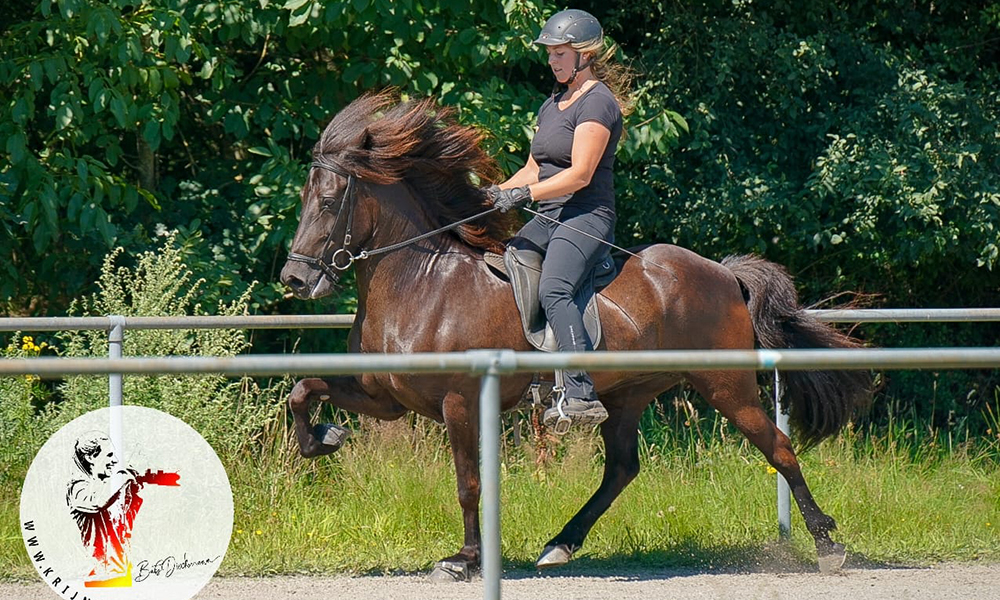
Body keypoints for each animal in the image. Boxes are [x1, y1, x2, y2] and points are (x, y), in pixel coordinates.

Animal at [280, 90, 868, 580]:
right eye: (305, 199)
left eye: (329, 202)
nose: (295, 279)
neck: (423, 282)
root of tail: (723, 273)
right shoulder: (385, 397)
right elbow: (303, 391)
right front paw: (324, 439)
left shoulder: (460, 401)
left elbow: (469, 483)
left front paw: (464, 560)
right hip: (629, 392)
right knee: (622, 469)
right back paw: (560, 543)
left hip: (727, 386)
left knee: (780, 448)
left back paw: (828, 546)